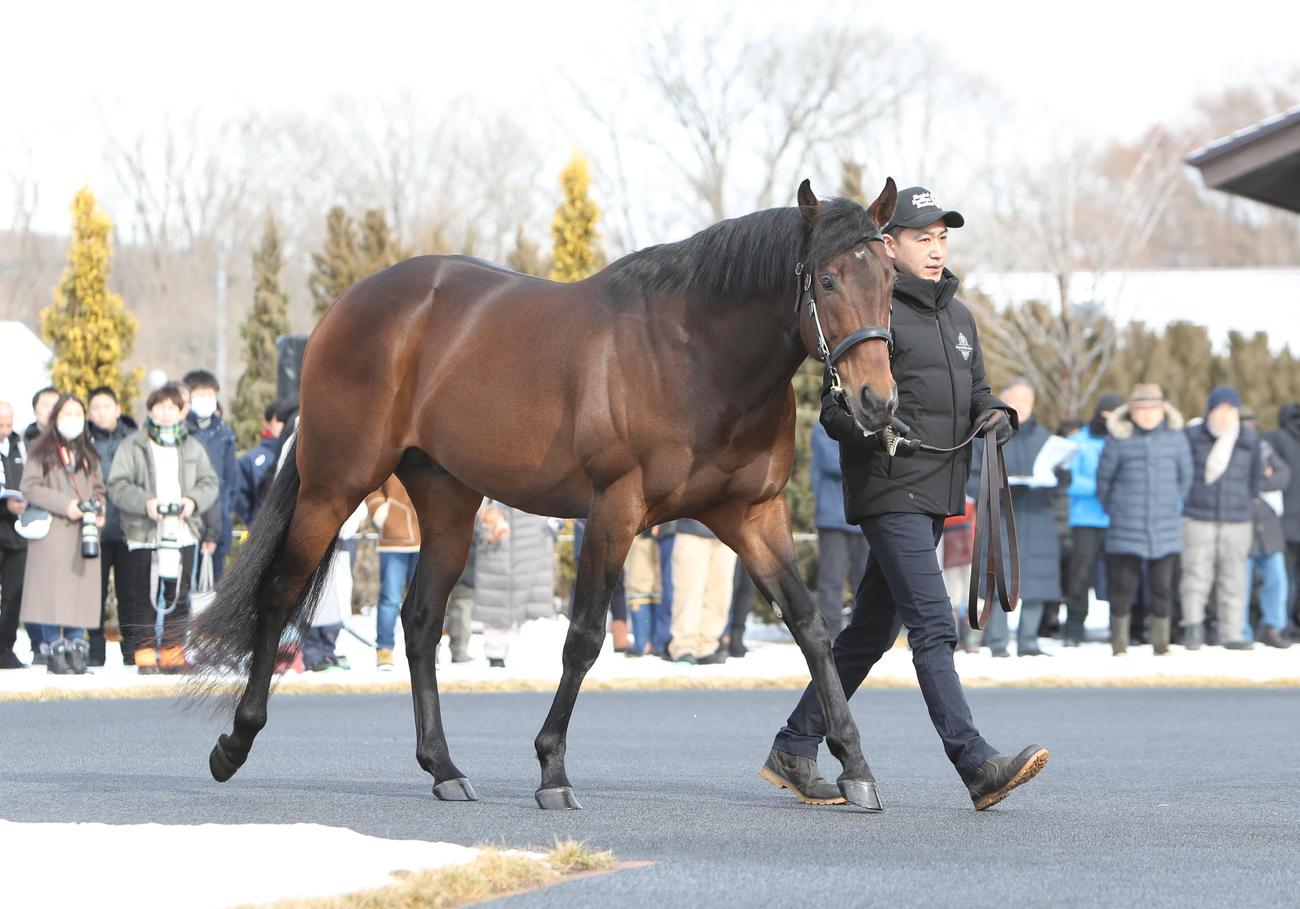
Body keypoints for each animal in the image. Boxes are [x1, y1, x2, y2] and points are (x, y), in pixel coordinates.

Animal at [189, 177, 901, 811]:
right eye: (827, 280)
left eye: (891, 281)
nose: (877, 400)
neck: (694, 355)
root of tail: (348, 306)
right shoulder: (614, 509)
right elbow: (584, 635)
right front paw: (552, 769)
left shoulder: (753, 516)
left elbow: (811, 625)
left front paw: (855, 766)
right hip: (334, 486)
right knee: (279, 593)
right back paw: (234, 743)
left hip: (447, 502)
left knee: (420, 622)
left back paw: (444, 768)